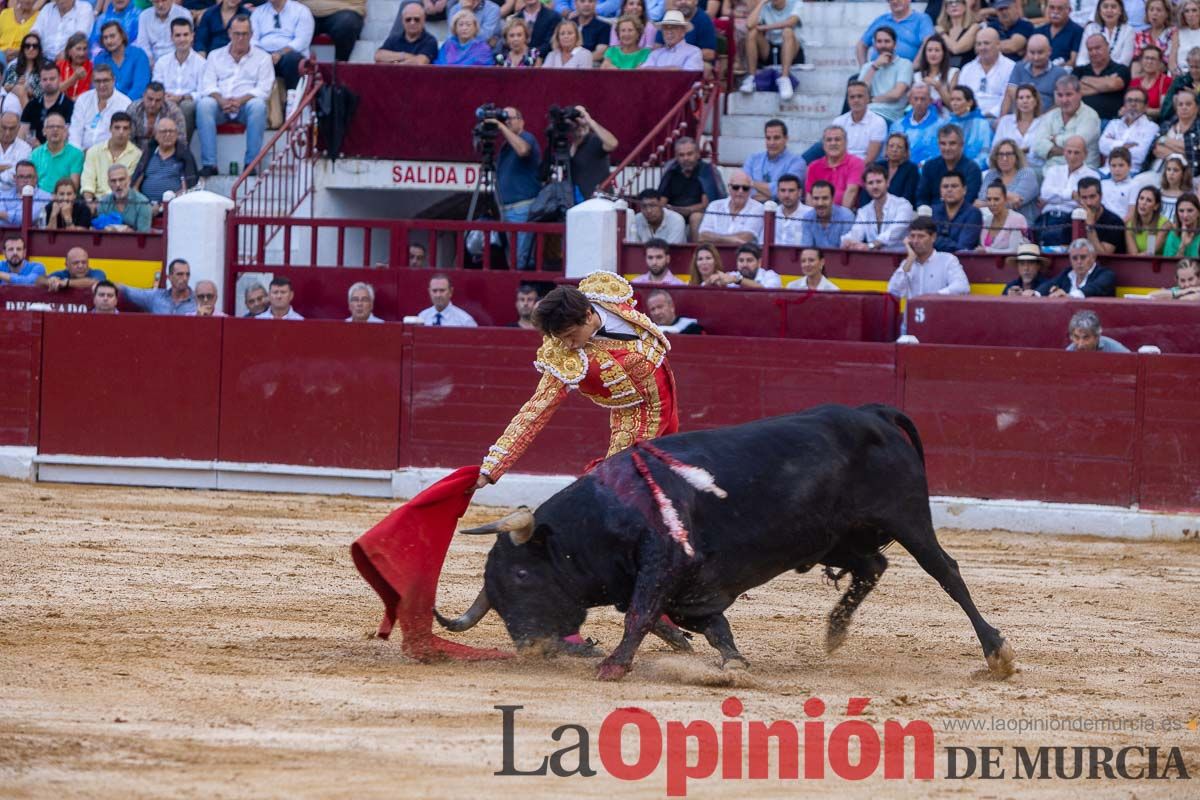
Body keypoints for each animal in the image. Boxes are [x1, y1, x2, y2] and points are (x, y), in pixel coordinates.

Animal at [441, 402, 1012, 681]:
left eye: (520, 574)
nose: (530, 647)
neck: (605, 517)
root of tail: (873, 413)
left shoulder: (662, 565)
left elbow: (640, 615)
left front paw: (613, 666)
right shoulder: (691, 591)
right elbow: (713, 628)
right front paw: (734, 665)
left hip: (907, 516)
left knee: (947, 573)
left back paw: (996, 652)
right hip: (835, 537)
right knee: (872, 567)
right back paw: (834, 630)